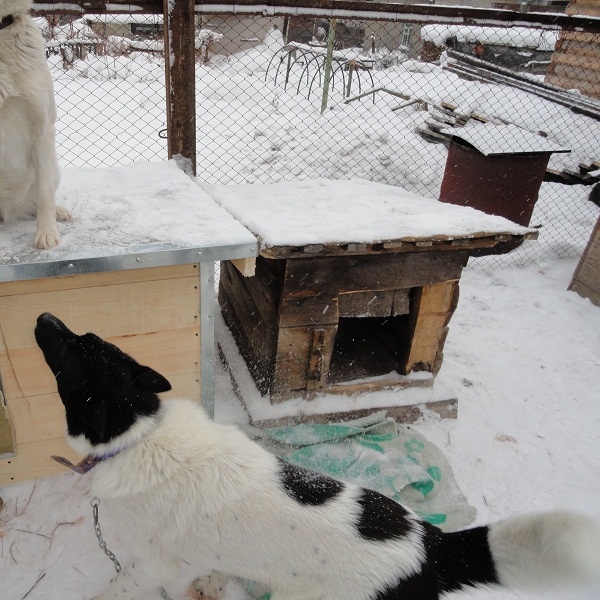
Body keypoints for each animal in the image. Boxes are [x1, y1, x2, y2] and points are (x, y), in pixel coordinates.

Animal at [35, 312, 600, 600]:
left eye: (68, 353)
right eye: (86, 335)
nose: (43, 315)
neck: (139, 433)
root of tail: (432, 546)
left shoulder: (152, 562)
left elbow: (120, 583)